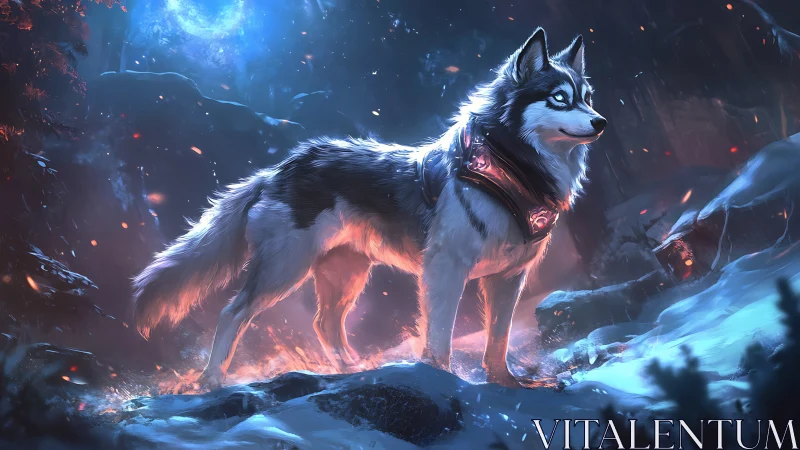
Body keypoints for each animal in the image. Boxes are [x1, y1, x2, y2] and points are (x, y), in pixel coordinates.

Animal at [132, 27, 606, 388]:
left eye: (587, 97)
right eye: (559, 98)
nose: (601, 121)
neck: (509, 169)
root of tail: (278, 169)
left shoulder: (509, 277)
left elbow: (499, 339)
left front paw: (506, 382)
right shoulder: (445, 268)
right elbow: (440, 334)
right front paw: (442, 376)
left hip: (346, 276)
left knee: (325, 324)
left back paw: (353, 368)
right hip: (285, 270)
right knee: (235, 312)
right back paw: (212, 379)